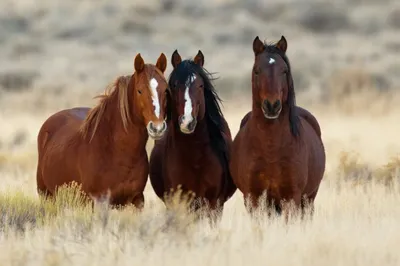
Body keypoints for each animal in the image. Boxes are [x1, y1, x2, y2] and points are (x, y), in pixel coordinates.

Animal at [34, 52, 170, 210]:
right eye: (140, 90)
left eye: (166, 90)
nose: (157, 127)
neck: (116, 151)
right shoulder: (99, 202)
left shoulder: (136, 200)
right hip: (46, 196)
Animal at [148, 50, 236, 222]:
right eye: (174, 85)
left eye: (201, 86)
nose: (187, 122)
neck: (195, 158)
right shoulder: (177, 202)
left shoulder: (214, 204)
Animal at [230, 35, 326, 218]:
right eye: (257, 70)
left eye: (284, 71)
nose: (272, 106)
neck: (271, 148)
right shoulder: (253, 198)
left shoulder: (292, 198)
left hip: (308, 200)